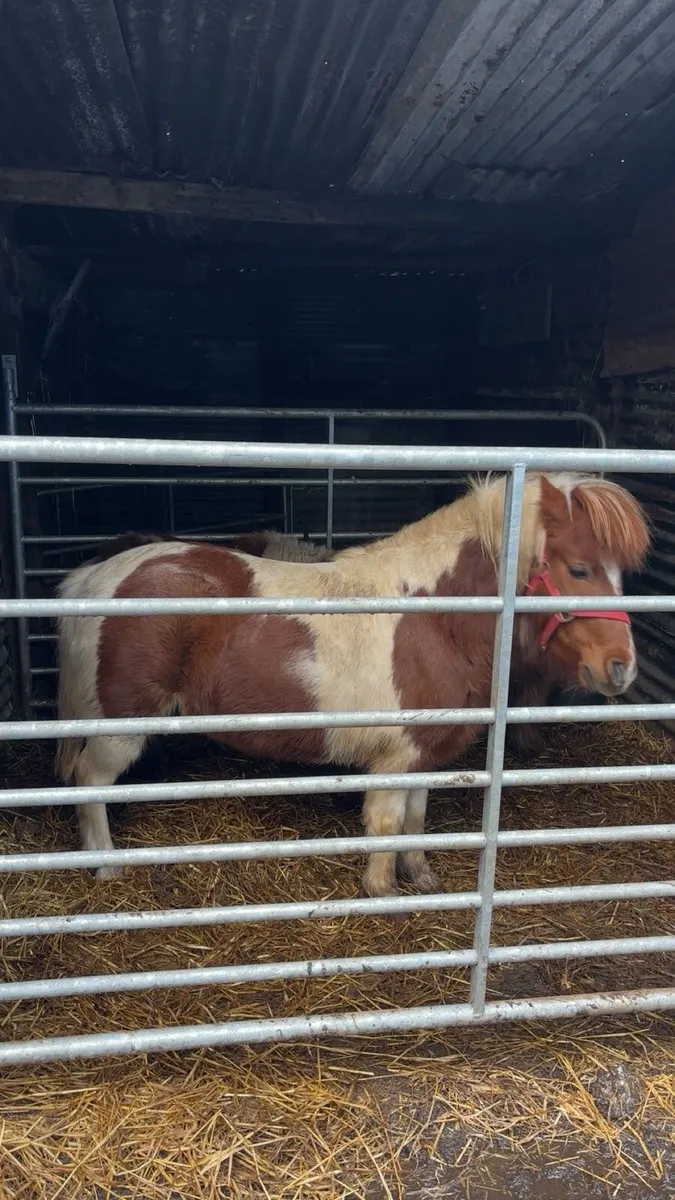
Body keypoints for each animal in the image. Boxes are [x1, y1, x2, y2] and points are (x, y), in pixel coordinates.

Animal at [55, 472, 649, 896]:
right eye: (578, 569)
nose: (621, 666)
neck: (436, 616)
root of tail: (96, 577)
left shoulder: (422, 754)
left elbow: (416, 819)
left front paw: (422, 878)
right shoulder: (393, 760)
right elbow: (385, 824)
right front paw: (381, 892)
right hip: (120, 728)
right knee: (89, 781)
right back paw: (106, 868)